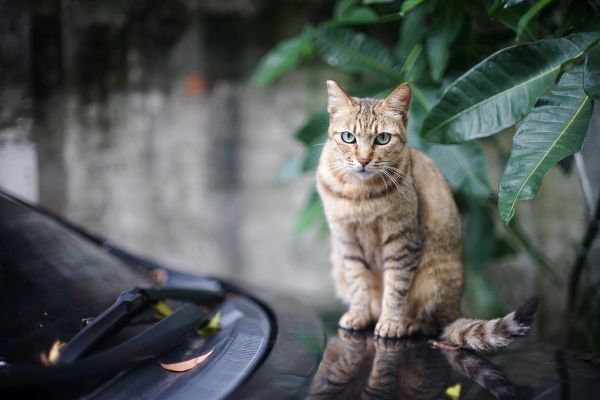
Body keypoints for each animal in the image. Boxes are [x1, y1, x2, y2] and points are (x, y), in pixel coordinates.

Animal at [316, 79, 536, 350]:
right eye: (348, 137)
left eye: (383, 138)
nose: (364, 160)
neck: (359, 192)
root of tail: (455, 311)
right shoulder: (346, 240)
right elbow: (358, 283)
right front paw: (358, 314)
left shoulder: (402, 241)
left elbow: (395, 289)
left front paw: (390, 323)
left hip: (432, 281)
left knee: (434, 325)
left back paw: (408, 323)